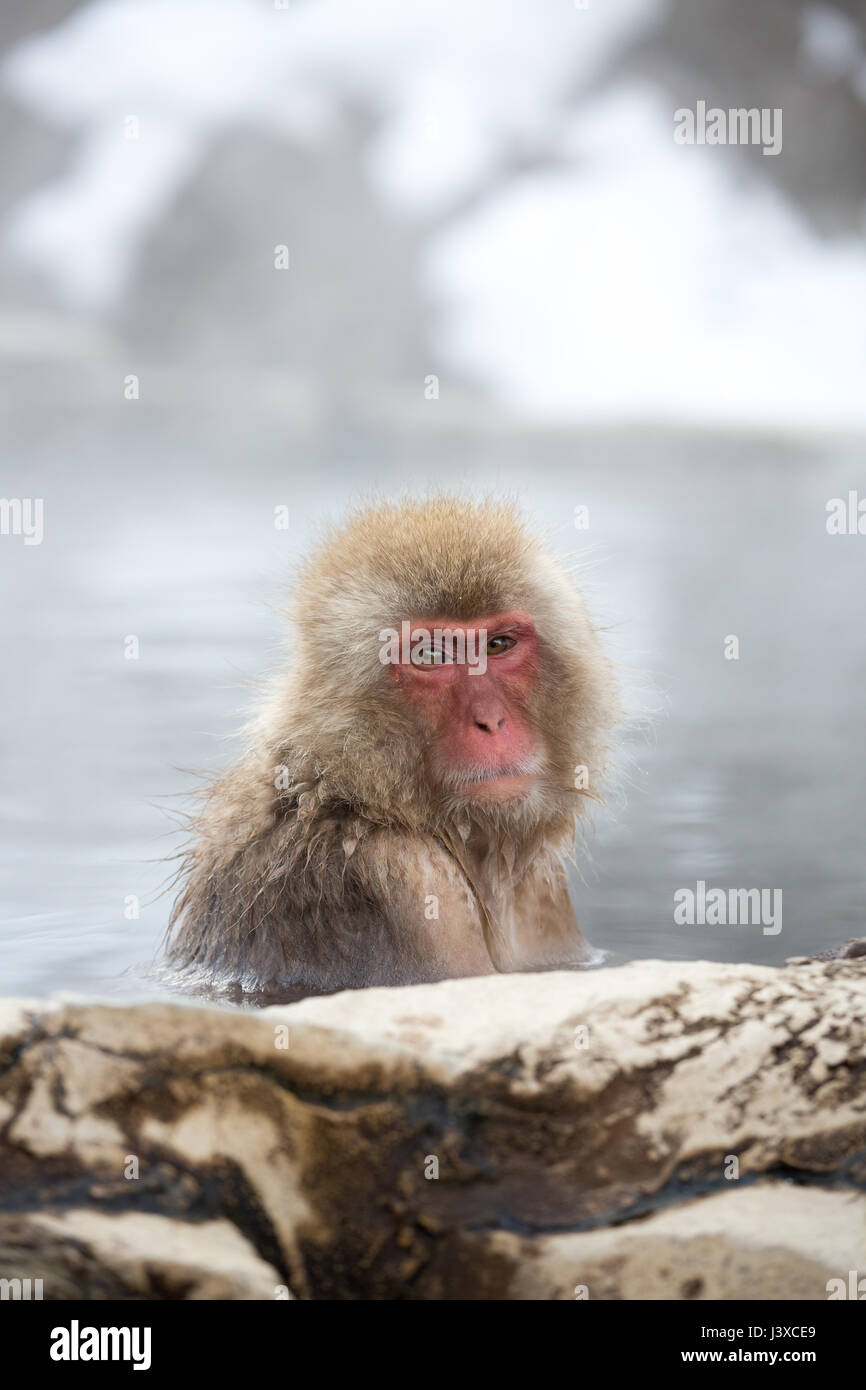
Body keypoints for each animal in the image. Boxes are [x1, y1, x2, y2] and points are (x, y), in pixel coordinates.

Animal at [167, 494, 617, 995]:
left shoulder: (543, 882)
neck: (355, 796)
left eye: (498, 645)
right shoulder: (408, 878)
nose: (491, 721)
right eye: (430, 655)